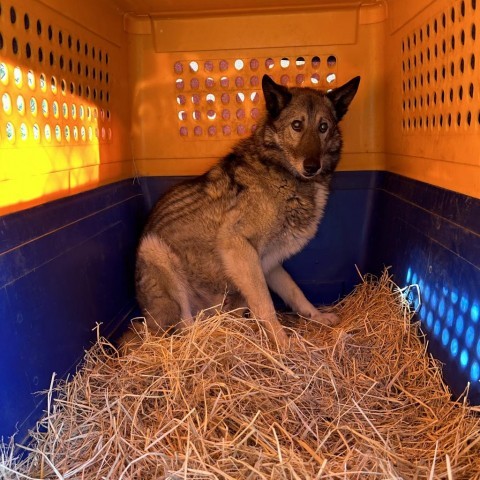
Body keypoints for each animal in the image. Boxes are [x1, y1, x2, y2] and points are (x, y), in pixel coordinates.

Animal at [129, 72, 358, 348]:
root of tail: (146, 319)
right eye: (297, 125)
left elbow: (295, 292)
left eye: (323, 127)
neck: (283, 174)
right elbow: (265, 305)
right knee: (186, 327)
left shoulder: (269, 264)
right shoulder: (238, 248)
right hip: (155, 249)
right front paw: (283, 345)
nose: (312, 166)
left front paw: (317, 317)